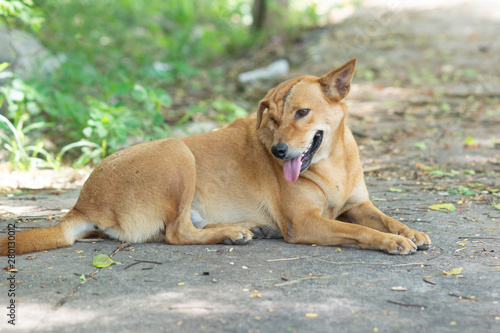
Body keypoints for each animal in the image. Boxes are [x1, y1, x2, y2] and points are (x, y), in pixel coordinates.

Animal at [0, 58, 430, 255]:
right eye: (272, 119)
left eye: (302, 113)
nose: (278, 151)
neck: (332, 163)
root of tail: (82, 202)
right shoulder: (305, 223)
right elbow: (362, 231)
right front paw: (392, 242)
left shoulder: (359, 205)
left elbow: (384, 217)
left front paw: (409, 231)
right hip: (177, 152)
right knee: (176, 234)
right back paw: (232, 232)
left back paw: (245, 228)